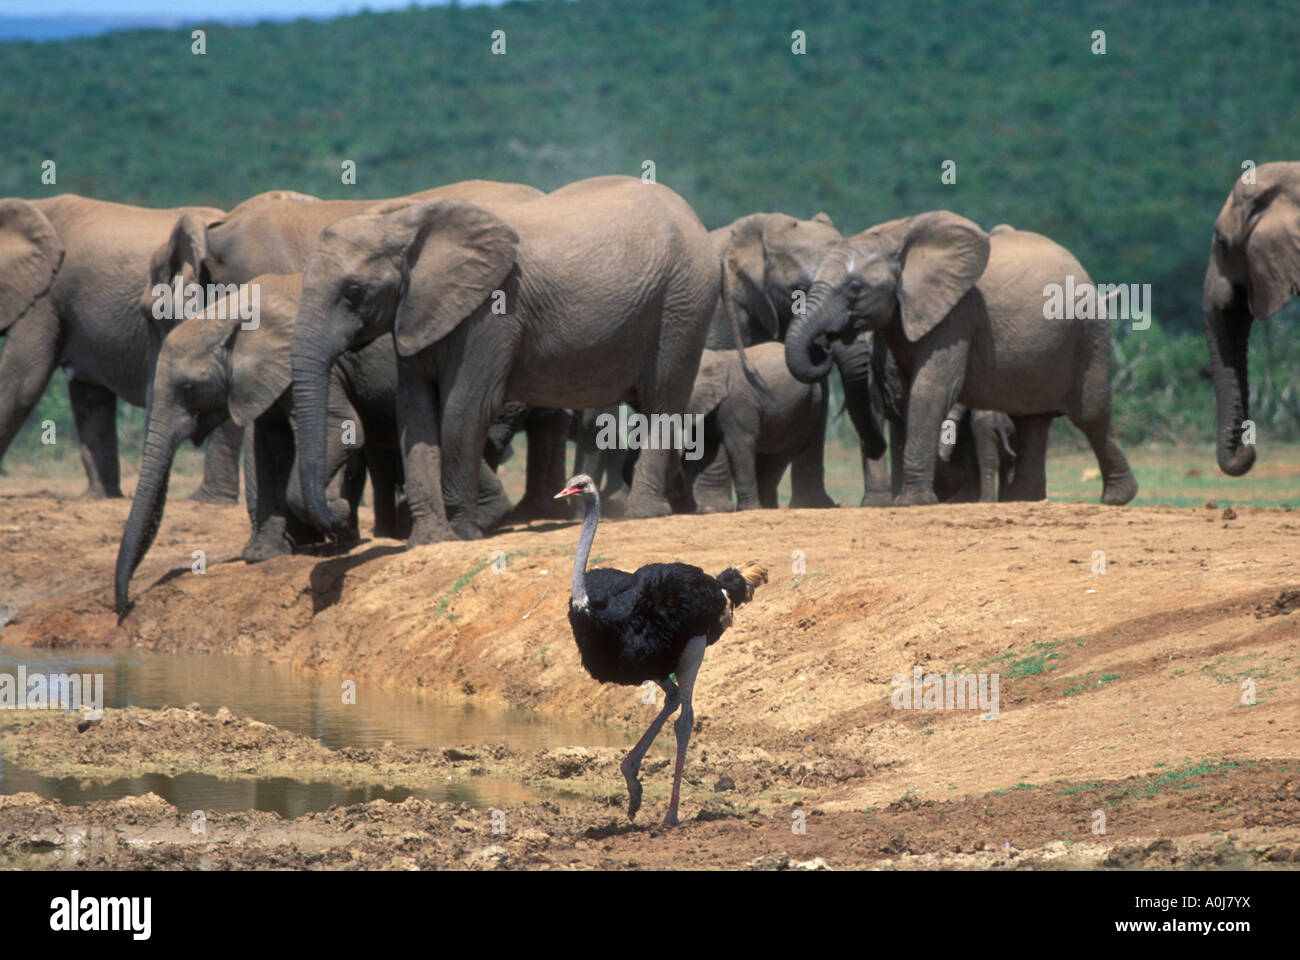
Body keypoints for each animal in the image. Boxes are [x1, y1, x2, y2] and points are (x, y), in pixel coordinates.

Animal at [290, 175, 722, 543]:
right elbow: (414, 414)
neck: (406, 220)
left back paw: (647, 512)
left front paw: (464, 534)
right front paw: (429, 541)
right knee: (652, 401)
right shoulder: (418, 313)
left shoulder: (492, 311)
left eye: (355, 292)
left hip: (683, 301)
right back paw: (679, 507)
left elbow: (465, 408)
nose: (338, 518)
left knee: (662, 399)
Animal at [685, 342, 832, 511]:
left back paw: (763, 508)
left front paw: (748, 510)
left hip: (808, 407)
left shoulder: (737, 404)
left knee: (781, 453)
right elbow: (701, 447)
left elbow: (739, 444)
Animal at [785, 211, 1137, 506]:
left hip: (1089, 332)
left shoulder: (957, 315)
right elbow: (907, 395)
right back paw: (1024, 501)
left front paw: (912, 503)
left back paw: (1115, 499)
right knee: (1031, 420)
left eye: (855, 288)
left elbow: (932, 388)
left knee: (1090, 413)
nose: (824, 344)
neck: (898, 238)